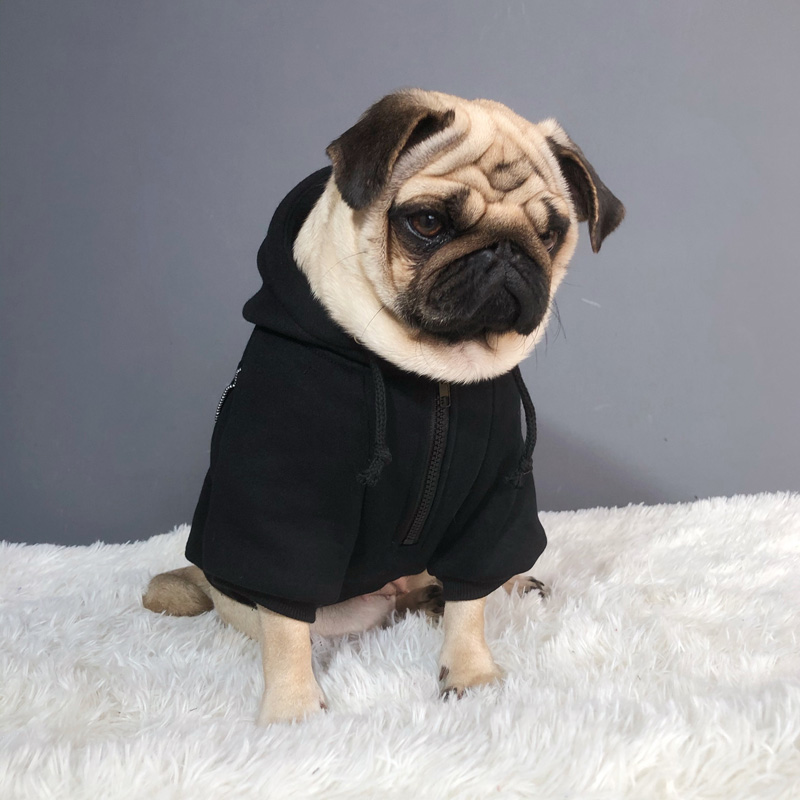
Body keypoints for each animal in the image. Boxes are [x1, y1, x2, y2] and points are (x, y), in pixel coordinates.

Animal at [143, 89, 624, 724]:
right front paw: (292, 710)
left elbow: (472, 602)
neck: (431, 370)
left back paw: (481, 589)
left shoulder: (492, 499)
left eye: (550, 234)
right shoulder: (287, 507)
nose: (505, 250)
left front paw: (470, 672)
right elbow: (285, 628)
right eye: (427, 222)